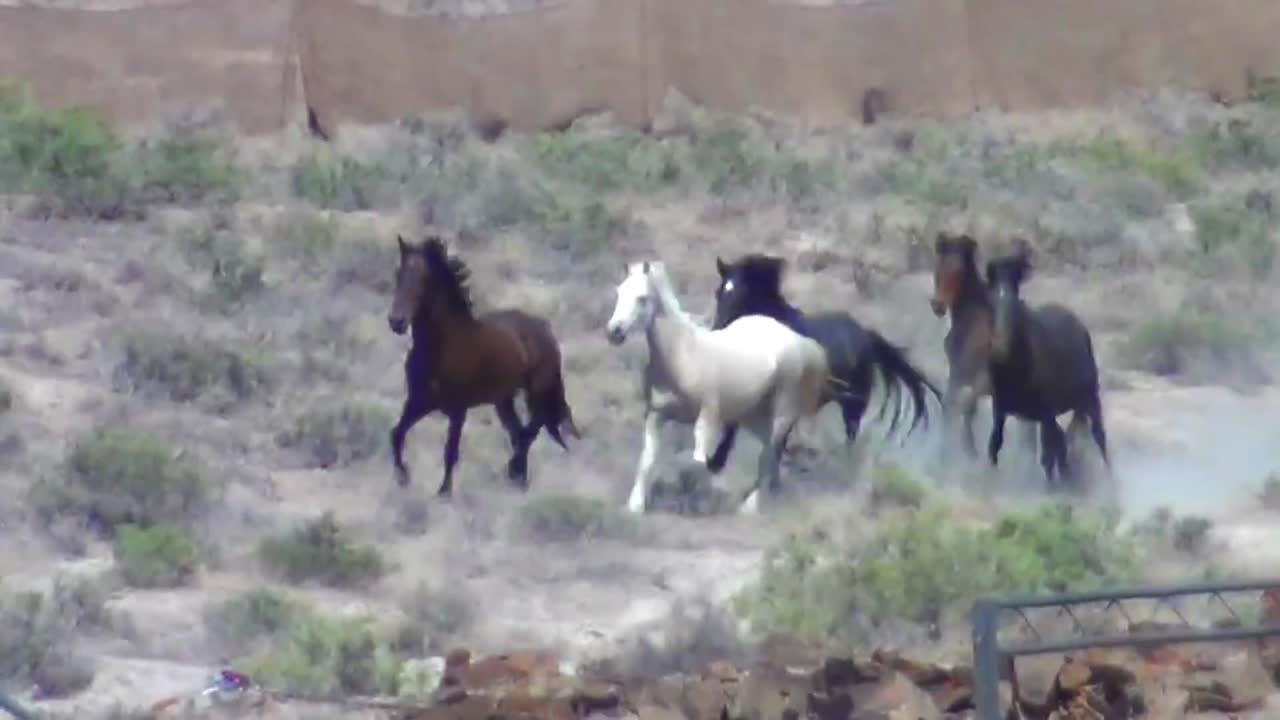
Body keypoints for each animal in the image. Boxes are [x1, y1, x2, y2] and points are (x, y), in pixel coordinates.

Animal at [386, 234, 581, 497]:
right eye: (398, 273)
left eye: (424, 278)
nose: (396, 321)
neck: (441, 346)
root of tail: (545, 330)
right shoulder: (419, 401)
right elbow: (397, 434)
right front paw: (403, 477)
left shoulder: (458, 410)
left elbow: (450, 452)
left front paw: (443, 493)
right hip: (504, 400)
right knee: (519, 432)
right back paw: (519, 479)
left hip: (537, 391)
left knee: (531, 428)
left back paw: (515, 471)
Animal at [604, 260, 833, 515]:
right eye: (619, 292)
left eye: (642, 298)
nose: (614, 332)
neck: (682, 356)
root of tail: (799, 340)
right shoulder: (656, 415)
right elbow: (647, 460)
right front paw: (634, 506)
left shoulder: (707, 418)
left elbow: (698, 463)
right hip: (753, 415)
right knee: (770, 452)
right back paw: (772, 494)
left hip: (781, 412)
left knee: (769, 453)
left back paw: (750, 507)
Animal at [706, 254, 941, 470]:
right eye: (718, 293)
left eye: (742, 294)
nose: (717, 328)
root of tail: (866, 334)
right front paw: (716, 461)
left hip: (854, 402)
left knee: (851, 432)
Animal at [983, 241, 1110, 489]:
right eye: (990, 304)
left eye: (1016, 302)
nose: (999, 349)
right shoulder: (1000, 410)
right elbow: (994, 446)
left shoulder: (1045, 412)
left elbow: (1048, 457)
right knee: (1063, 444)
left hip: (1089, 398)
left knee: (1098, 438)